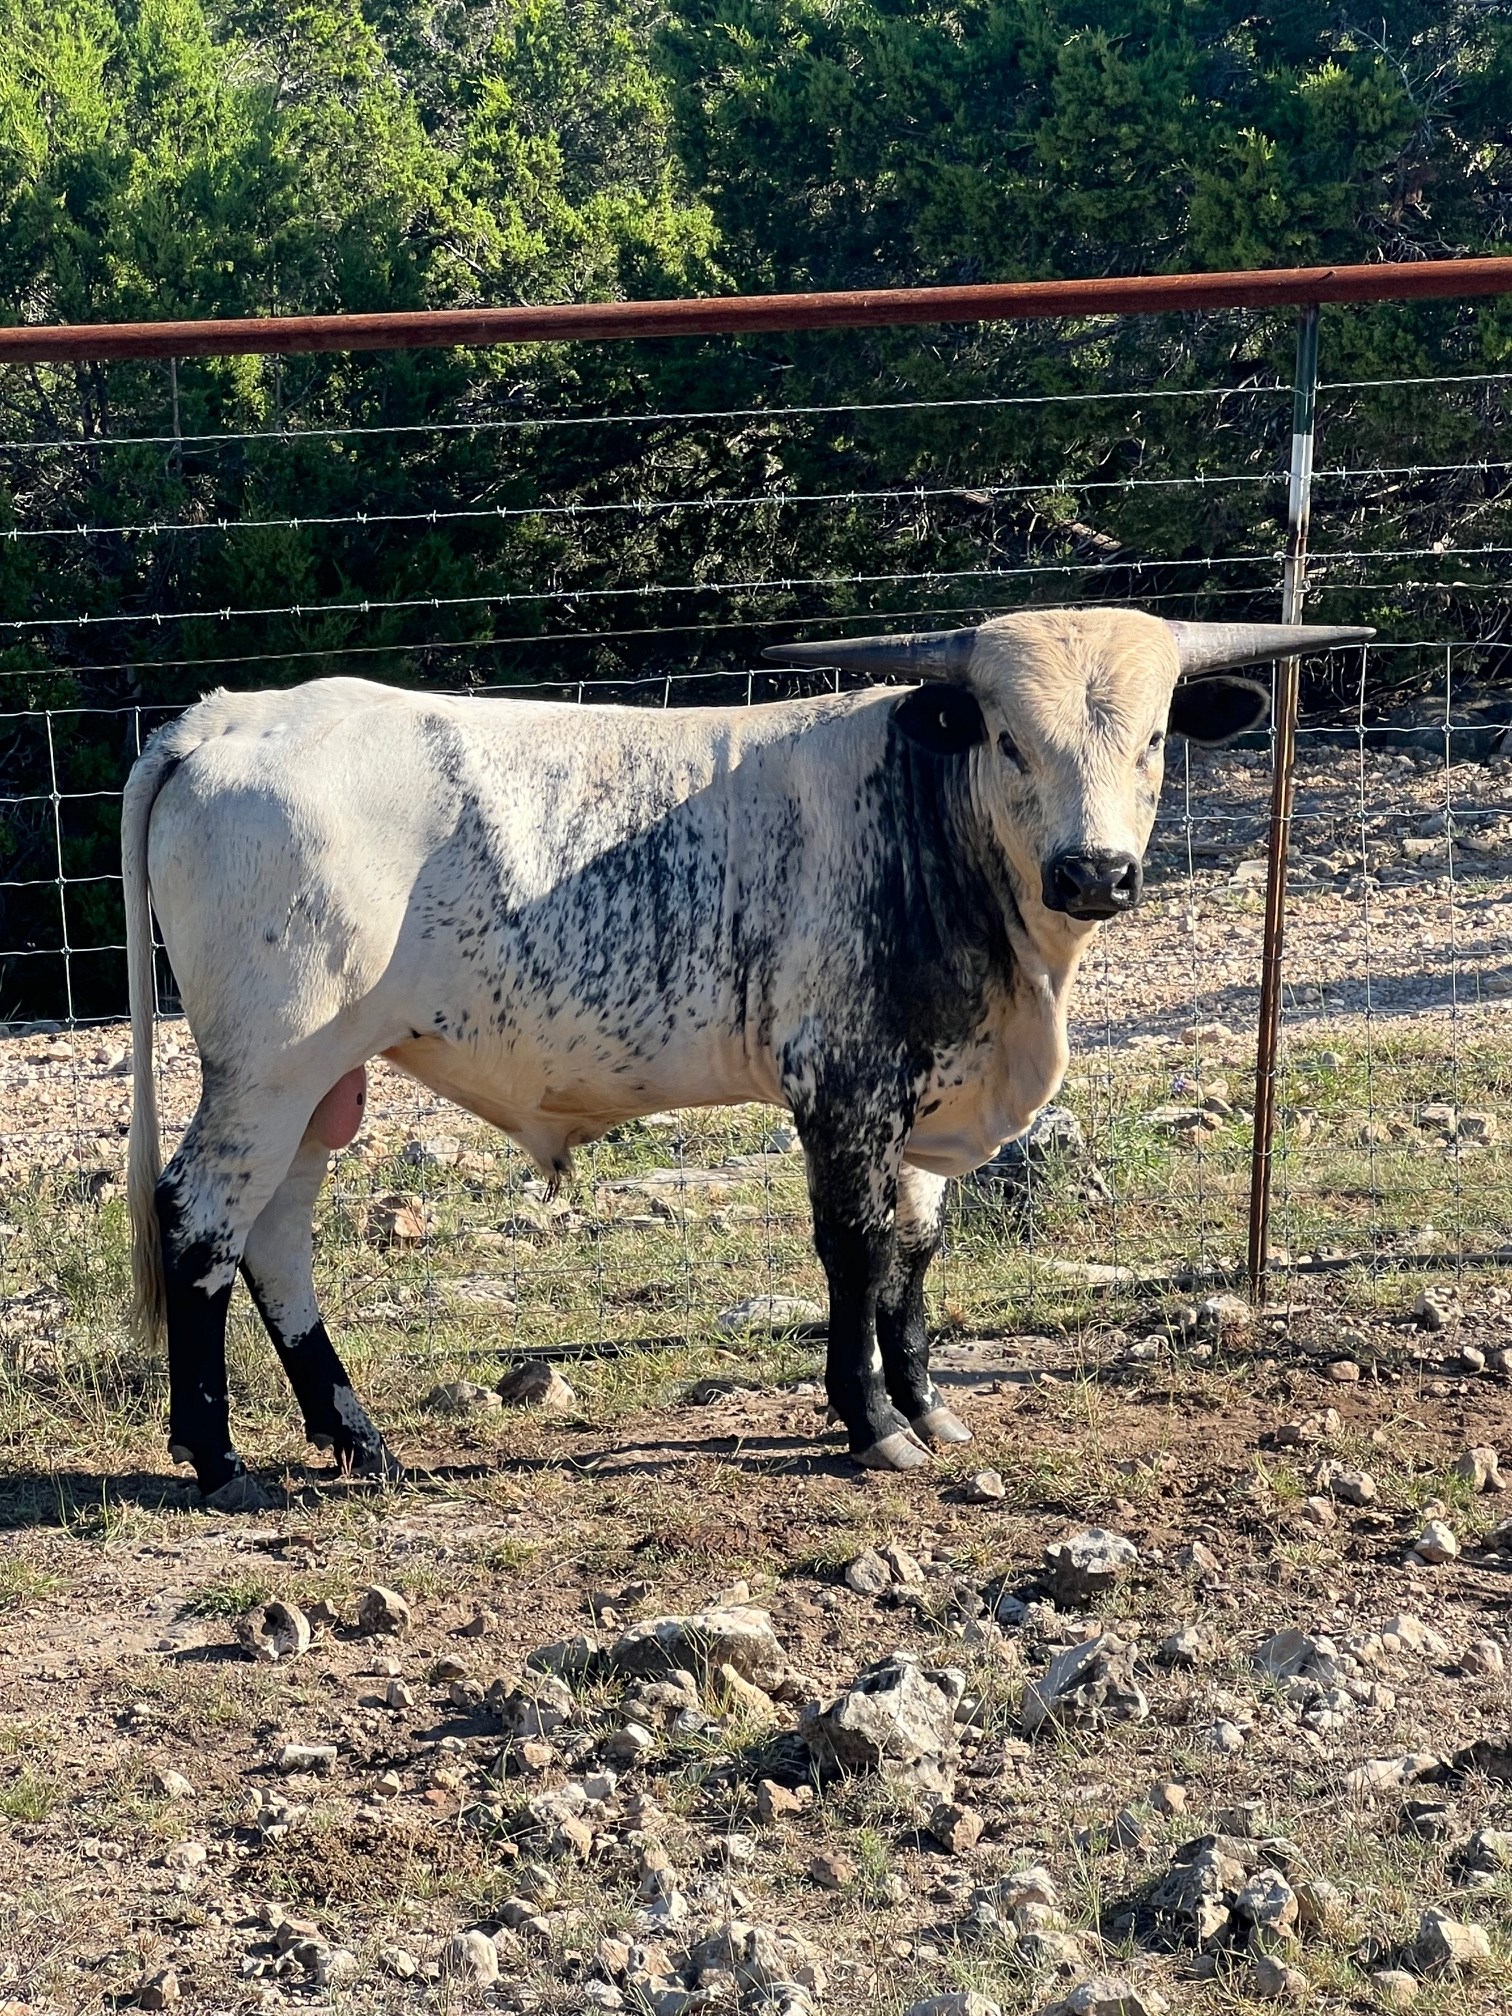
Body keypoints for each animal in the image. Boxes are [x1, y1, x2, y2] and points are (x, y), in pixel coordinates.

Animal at [122, 608, 1369, 1509]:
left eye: (1153, 739)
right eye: (1011, 738)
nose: (1095, 873)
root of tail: (224, 718)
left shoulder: (921, 1100)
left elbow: (915, 1254)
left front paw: (928, 1406)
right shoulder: (844, 1089)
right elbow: (856, 1253)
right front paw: (871, 1425)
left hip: (321, 1079)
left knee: (276, 1235)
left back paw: (356, 1439)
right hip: (267, 1066)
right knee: (199, 1220)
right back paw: (220, 1461)